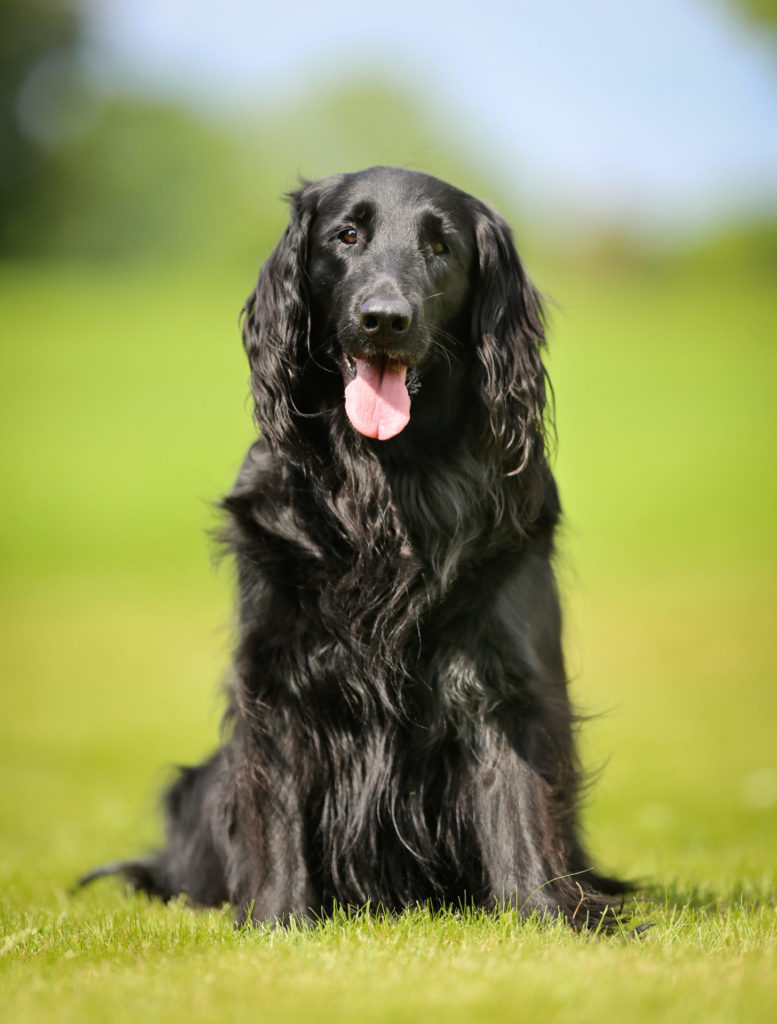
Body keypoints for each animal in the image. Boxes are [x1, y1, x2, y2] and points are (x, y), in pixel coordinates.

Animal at [81, 163, 622, 925]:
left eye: (441, 247)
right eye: (347, 235)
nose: (383, 319)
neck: (385, 493)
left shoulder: (506, 672)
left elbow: (518, 806)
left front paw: (548, 917)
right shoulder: (276, 671)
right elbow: (275, 810)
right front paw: (277, 921)